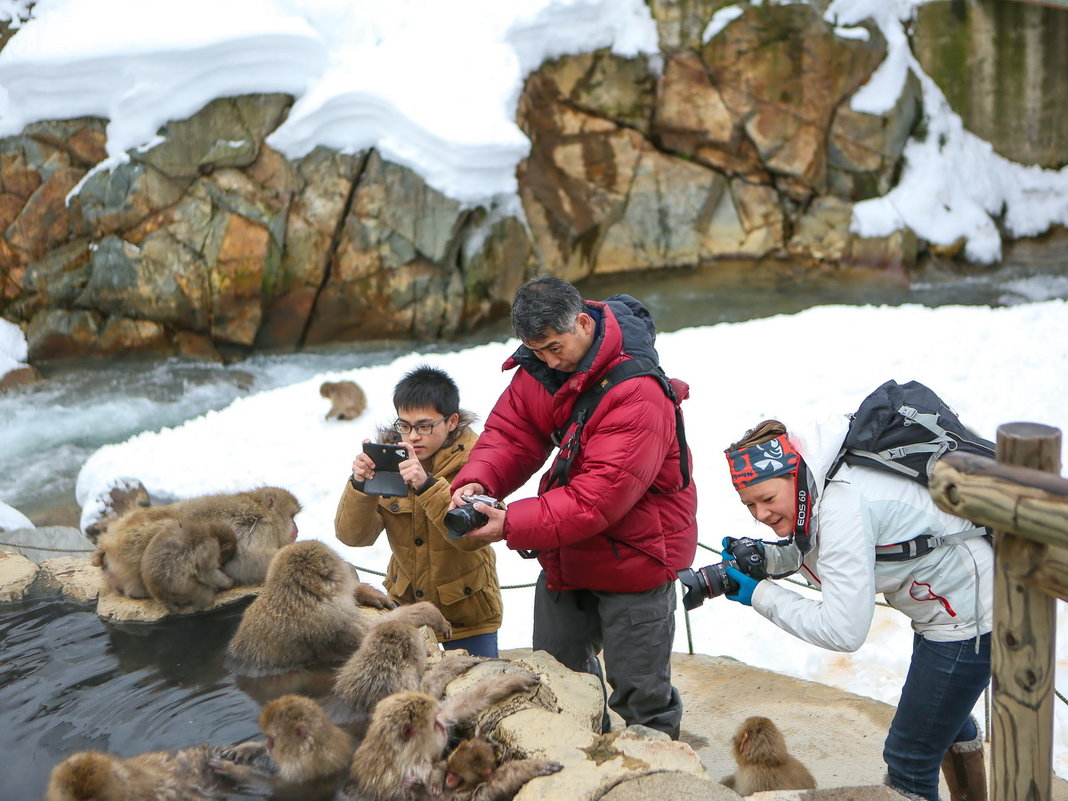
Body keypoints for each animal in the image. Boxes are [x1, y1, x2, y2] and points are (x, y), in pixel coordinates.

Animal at [227, 540, 452, 679]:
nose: (346, 565)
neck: (296, 595)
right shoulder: (331, 619)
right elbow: (373, 634)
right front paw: (429, 612)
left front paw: (367, 592)